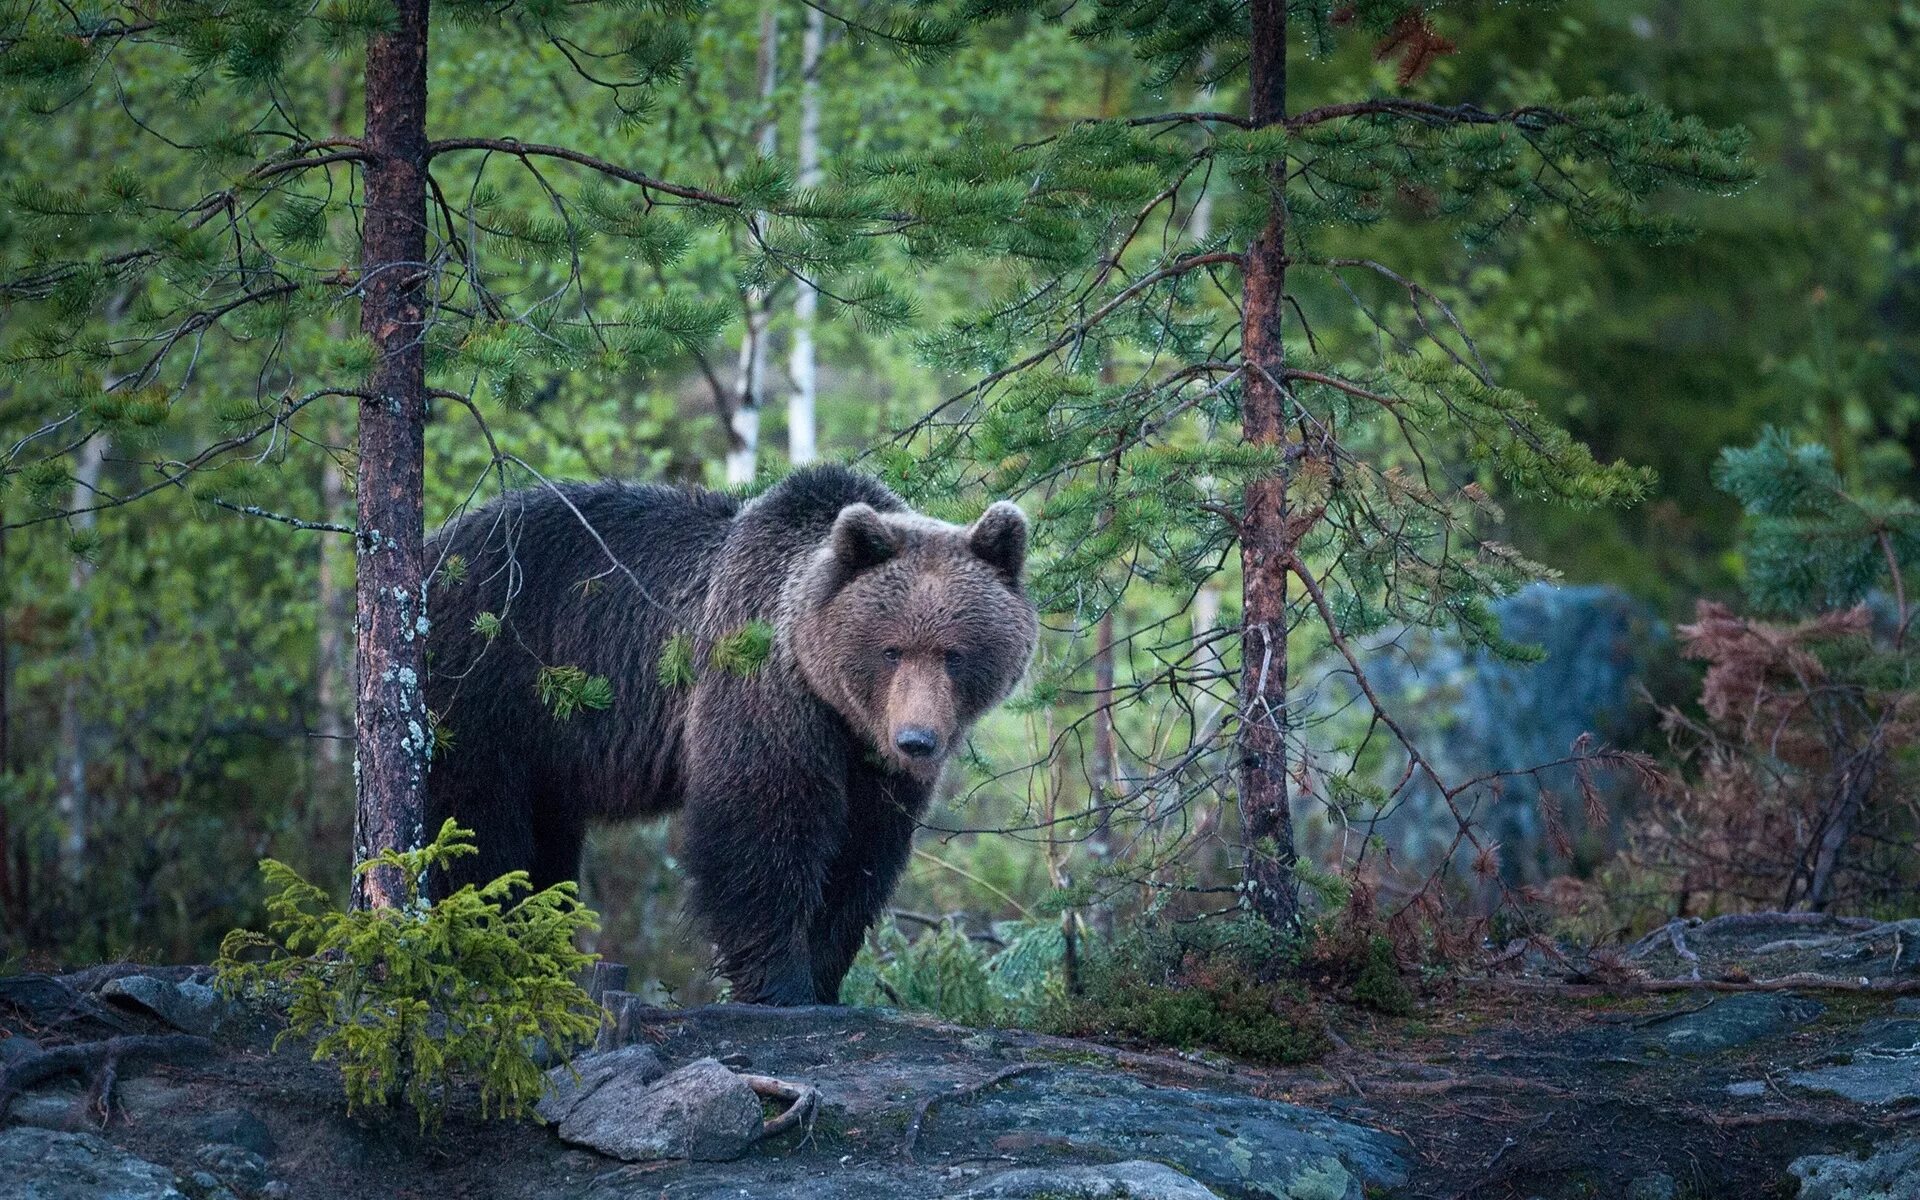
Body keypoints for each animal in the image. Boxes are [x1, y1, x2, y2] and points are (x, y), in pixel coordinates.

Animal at [426, 462, 1036, 1006]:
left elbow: (862, 852)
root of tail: (435, 548)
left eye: (954, 654)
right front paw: (782, 986)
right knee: (481, 828)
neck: (829, 697)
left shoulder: (868, 760)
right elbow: (762, 826)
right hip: (485, 692)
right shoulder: (762, 690)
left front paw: (825, 978)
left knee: (547, 841)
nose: (916, 741)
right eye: (892, 650)